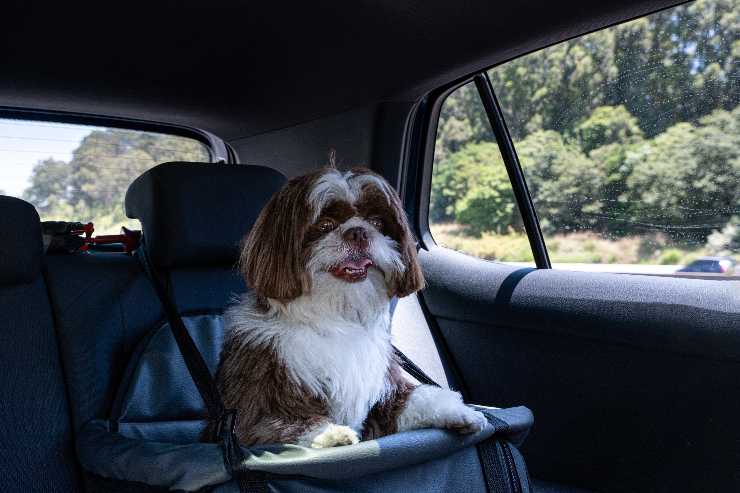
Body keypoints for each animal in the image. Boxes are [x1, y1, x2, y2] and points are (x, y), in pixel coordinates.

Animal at [208, 167, 486, 448]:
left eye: (377, 223)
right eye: (325, 225)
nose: (358, 232)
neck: (336, 315)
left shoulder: (383, 391)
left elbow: (413, 399)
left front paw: (459, 411)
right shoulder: (256, 401)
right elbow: (276, 423)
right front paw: (331, 435)